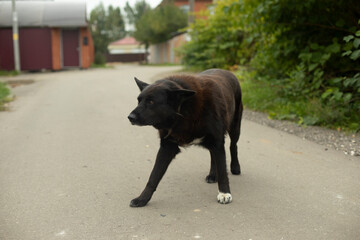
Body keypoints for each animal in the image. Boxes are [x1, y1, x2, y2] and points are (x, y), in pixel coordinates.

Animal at [128, 69, 243, 206]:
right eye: (139, 101)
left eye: (151, 102)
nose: (130, 117)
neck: (183, 110)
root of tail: (227, 72)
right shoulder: (167, 147)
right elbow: (154, 176)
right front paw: (142, 199)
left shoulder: (217, 141)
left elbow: (223, 171)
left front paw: (224, 193)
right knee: (212, 154)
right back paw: (212, 175)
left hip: (234, 128)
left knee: (233, 146)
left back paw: (235, 167)